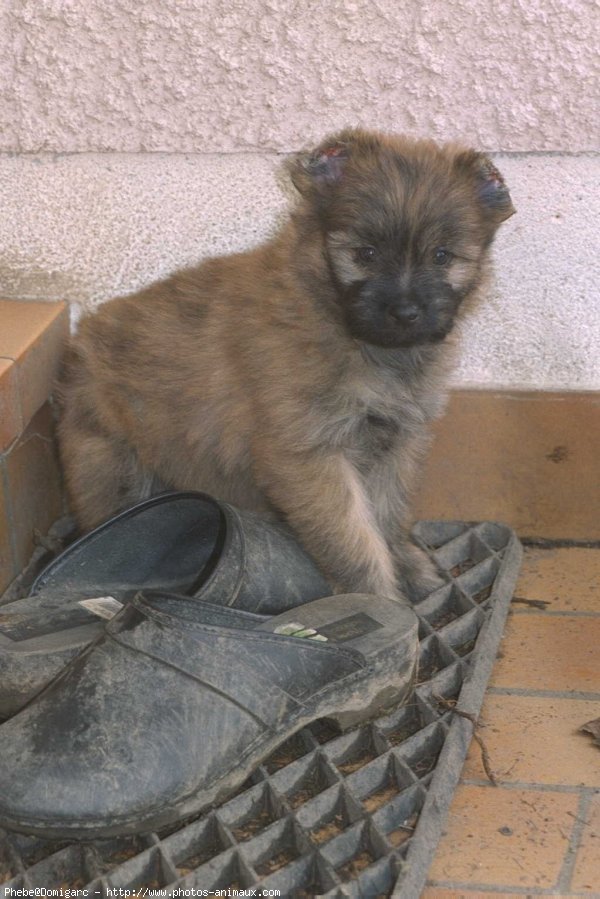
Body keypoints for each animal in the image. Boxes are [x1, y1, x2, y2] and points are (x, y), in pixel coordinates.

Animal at [57, 128, 516, 604]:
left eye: (442, 257)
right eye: (366, 254)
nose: (405, 313)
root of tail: (82, 339)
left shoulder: (395, 443)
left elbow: (385, 516)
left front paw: (404, 566)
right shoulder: (309, 455)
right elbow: (352, 540)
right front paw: (377, 603)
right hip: (112, 463)